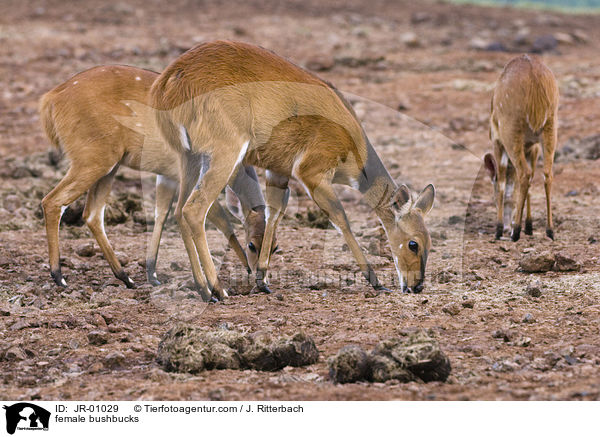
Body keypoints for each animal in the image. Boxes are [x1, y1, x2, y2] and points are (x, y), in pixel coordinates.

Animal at [40, 64, 270, 292]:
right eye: (252, 245)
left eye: (274, 246)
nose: (263, 283)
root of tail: (51, 98)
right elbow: (221, 221)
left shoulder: (167, 178)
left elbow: (161, 214)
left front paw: (153, 274)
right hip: (93, 161)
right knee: (52, 201)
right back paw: (59, 276)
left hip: (109, 167)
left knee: (92, 214)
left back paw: (126, 277)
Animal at [150, 41, 436, 300]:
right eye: (414, 244)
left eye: (430, 242)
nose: (416, 286)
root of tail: (168, 84)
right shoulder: (311, 173)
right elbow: (340, 217)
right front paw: (375, 281)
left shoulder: (278, 172)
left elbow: (274, 212)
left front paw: (262, 280)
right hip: (224, 154)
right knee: (194, 209)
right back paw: (218, 290)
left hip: (190, 158)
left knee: (179, 210)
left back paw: (202, 288)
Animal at [482, 53, 556, 242]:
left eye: (492, 195)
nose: (505, 227)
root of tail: (534, 77)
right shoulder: (532, 147)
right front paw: (529, 226)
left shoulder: (497, 141)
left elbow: (503, 183)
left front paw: (500, 229)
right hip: (550, 129)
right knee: (546, 174)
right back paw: (550, 230)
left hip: (511, 133)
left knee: (524, 173)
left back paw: (515, 232)